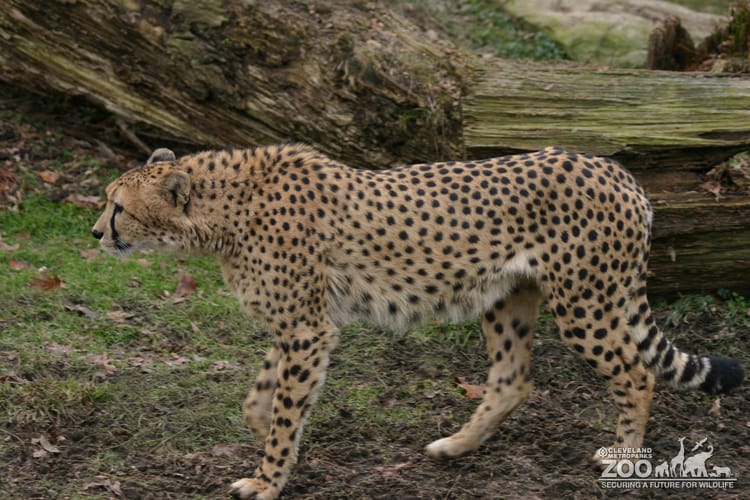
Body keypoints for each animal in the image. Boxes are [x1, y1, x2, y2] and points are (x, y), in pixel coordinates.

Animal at [91, 144, 743, 499]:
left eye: (118, 206)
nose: (96, 233)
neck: (225, 211)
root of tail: (617, 170)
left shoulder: (306, 326)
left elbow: (283, 406)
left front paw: (267, 477)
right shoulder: (307, 322)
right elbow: (262, 396)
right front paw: (269, 441)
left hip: (587, 302)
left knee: (636, 374)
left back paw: (624, 457)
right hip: (507, 296)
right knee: (514, 378)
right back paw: (456, 445)